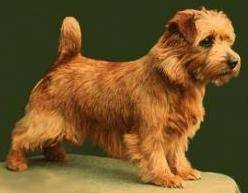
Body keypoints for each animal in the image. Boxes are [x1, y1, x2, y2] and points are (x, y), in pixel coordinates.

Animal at [6, 8, 240, 188]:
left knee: (49, 138)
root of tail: (64, 61)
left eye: (228, 41)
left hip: (59, 119)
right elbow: (156, 154)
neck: (175, 80)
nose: (234, 61)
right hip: (46, 118)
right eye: (207, 41)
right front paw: (165, 177)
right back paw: (15, 163)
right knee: (20, 135)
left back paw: (55, 156)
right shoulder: (151, 130)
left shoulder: (177, 130)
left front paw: (184, 171)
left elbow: (177, 153)